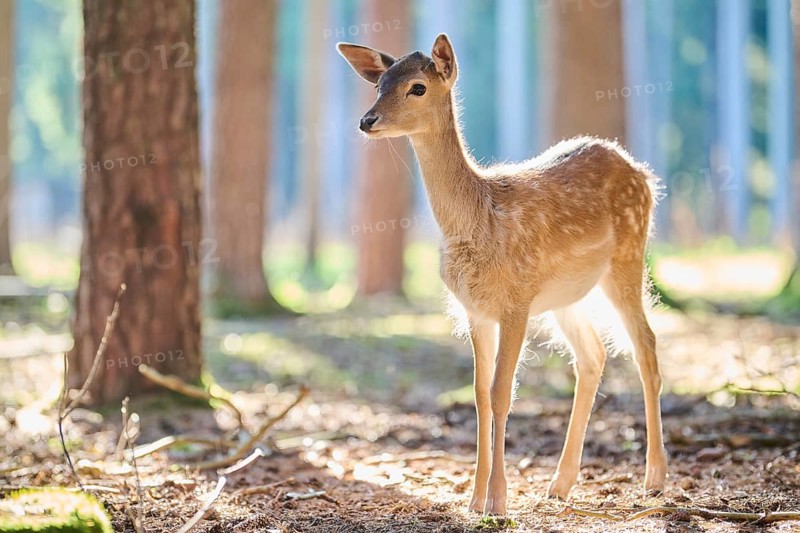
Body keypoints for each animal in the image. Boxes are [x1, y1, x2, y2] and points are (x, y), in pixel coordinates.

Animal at [337, 34, 667, 515]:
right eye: (380, 83)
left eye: (417, 87)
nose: (366, 120)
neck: (480, 219)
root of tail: (643, 173)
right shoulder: (475, 310)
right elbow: (478, 394)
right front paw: (474, 499)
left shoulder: (516, 301)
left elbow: (501, 392)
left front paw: (497, 500)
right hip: (565, 296)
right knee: (593, 355)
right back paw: (560, 484)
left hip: (627, 256)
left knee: (646, 345)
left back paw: (655, 478)